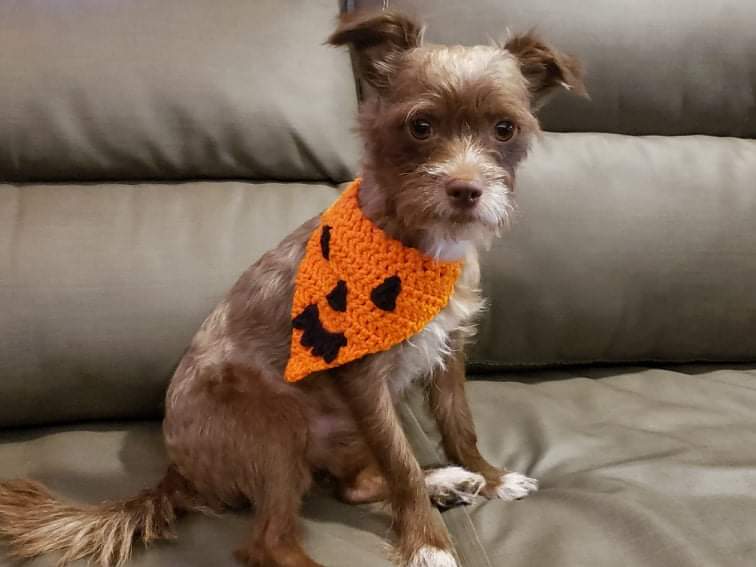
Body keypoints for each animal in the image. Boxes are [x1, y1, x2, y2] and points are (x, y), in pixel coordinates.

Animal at [0, 8, 584, 567]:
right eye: (420, 126)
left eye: (505, 129)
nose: (466, 190)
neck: (417, 244)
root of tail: (177, 474)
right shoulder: (362, 377)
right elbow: (400, 466)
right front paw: (429, 542)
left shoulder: (448, 352)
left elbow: (459, 425)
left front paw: (489, 475)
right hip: (276, 427)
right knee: (271, 542)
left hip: (338, 433)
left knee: (353, 487)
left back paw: (445, 480)